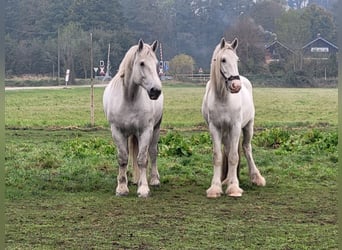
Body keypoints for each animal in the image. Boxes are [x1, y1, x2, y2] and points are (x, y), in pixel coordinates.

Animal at [102, 39, 164, 197]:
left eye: (157, 64)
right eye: (142, 63)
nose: (156, 91)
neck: (129, 98)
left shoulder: (145, 131)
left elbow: (142, 159)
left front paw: (143, 189)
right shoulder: (117, 131)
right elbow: (123, 158)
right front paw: (122, 188)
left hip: (156, 129)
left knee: (153, 152)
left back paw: (154, 179)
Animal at [202, 37, 266, 197]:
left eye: (237, 60)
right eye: (223, 60)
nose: (236, 85)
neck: (223, 98)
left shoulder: (235, 127)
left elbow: (233, 157)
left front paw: (234, 188)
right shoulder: (215, 128)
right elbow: (218, 156)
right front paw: (215, 187)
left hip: (248, 127)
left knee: (246, 148)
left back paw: (256, 177)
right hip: (225, 132)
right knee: (227, 149)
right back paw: (226, 180)